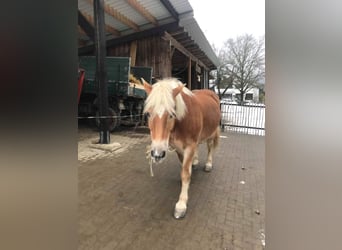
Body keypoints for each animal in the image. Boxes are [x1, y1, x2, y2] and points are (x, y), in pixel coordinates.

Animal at [142, 77, 220, 219]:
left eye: (171, 114)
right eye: (148, 114)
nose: (157, 153)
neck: (183, 120)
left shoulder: (190, 146)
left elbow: (185, 173)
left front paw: (181, 204)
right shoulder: (178, 148)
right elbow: (183, 168)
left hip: (211, 133)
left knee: (210, 147)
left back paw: (208, 164)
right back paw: (195, 161)